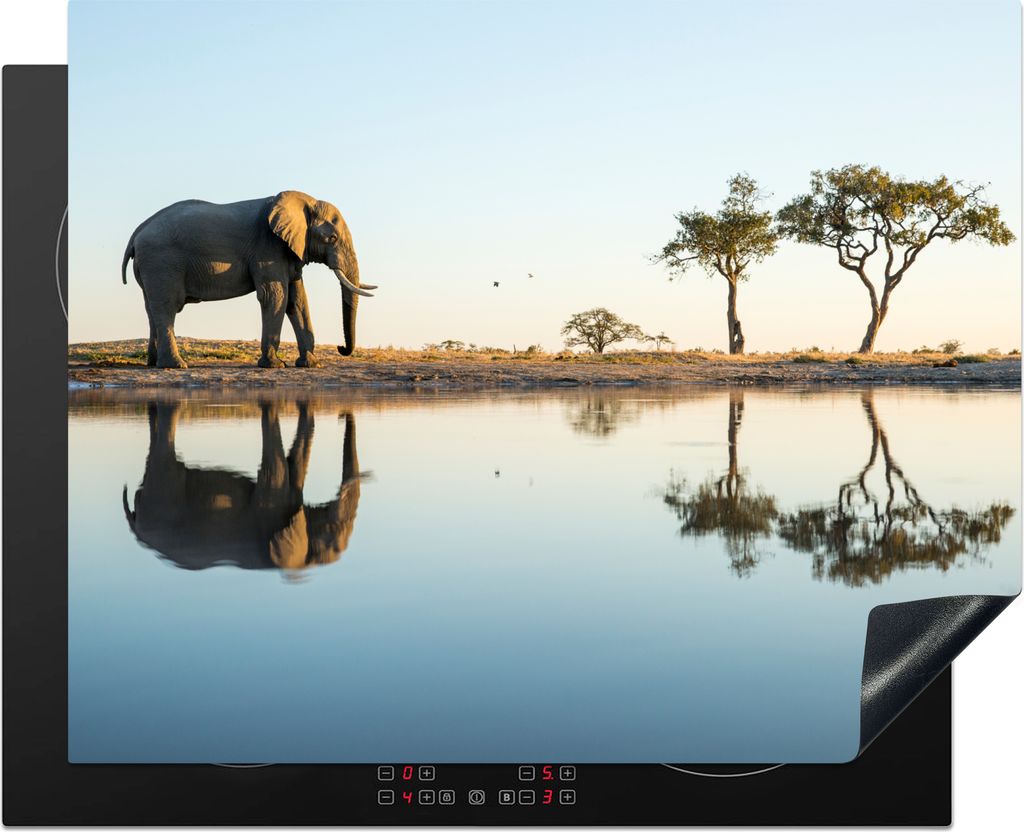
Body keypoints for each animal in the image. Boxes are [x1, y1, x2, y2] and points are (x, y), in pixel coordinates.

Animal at [121, 191, 377, 368]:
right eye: (331, 238)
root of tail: (137, 233)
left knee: (151, 308)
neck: (304, 201)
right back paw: (176, 366)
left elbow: (297, 300)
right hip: (162, 262)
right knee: (167, 306)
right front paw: (275, 366)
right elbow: (276, 296)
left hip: (151, 266)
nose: (341, 347)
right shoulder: (268, 249)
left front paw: (311, 365)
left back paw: (153, 363)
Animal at [122, 400, 362, 572]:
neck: (300, 567)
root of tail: (135, 528)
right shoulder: (269, 511)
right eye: (332, 541)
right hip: (163, 498)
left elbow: (295, 466)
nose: (341, 415)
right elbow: (278, 469)